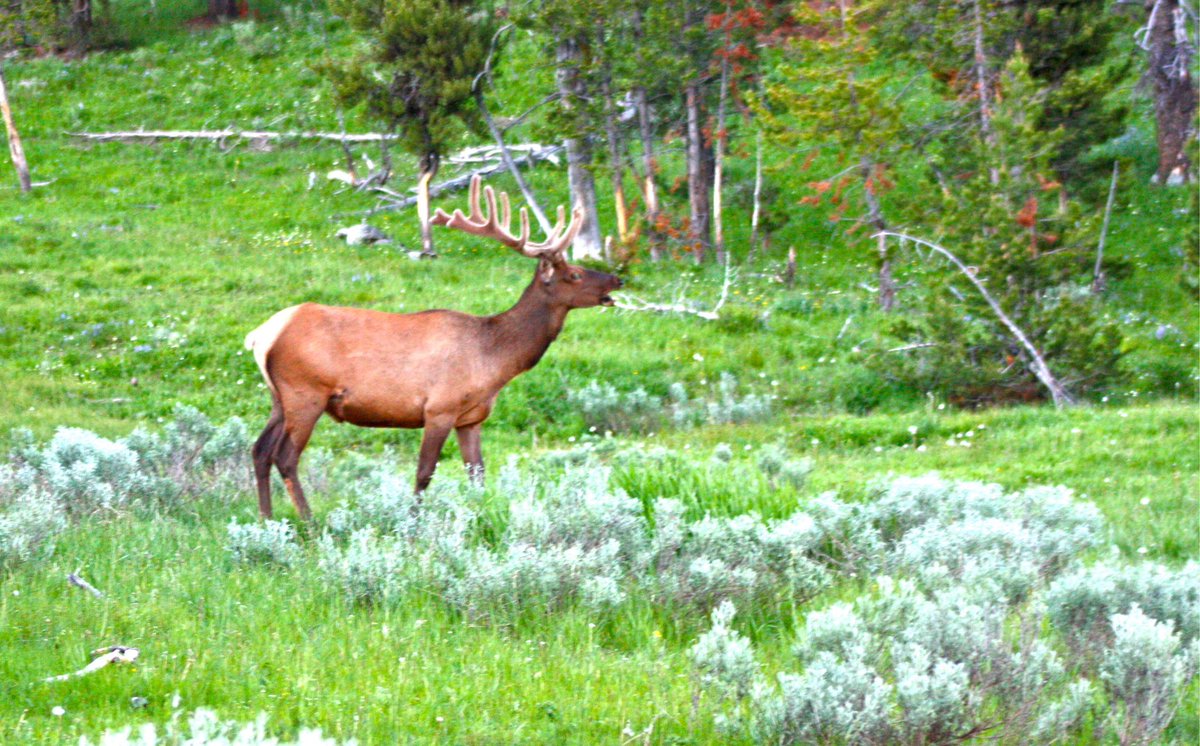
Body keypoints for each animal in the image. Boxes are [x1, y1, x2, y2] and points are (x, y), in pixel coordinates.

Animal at [242, 178, 619, 522]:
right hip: (306, 392)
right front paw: (413, 522)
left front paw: (479, 515)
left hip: (279, 397)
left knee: (259, 449)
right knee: (285, 456)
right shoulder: (439, 407)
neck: (495, 360)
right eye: (574, 274)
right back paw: (308, 521)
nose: (619, 279)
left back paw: (266, 519)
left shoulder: (472, 418)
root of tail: (260, 335)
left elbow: (477, 474)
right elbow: (424, 472)